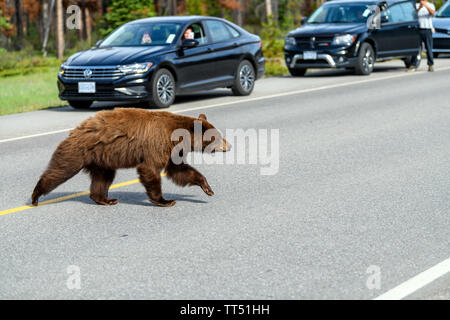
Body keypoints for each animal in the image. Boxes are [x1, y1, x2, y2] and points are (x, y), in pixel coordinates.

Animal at [30, 107, 232, 208]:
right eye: (217, 136)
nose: (229, 146)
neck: (178, 137)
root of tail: (78, 128)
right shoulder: (157, 144)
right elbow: (150, 169)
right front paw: (165, 200)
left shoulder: (173, 151)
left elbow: (179, 170)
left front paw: (207, 188)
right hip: (79, 151)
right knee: (60, 171)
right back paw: (35, 196)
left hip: (102, 159)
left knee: (103, 178)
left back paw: (105, 199)